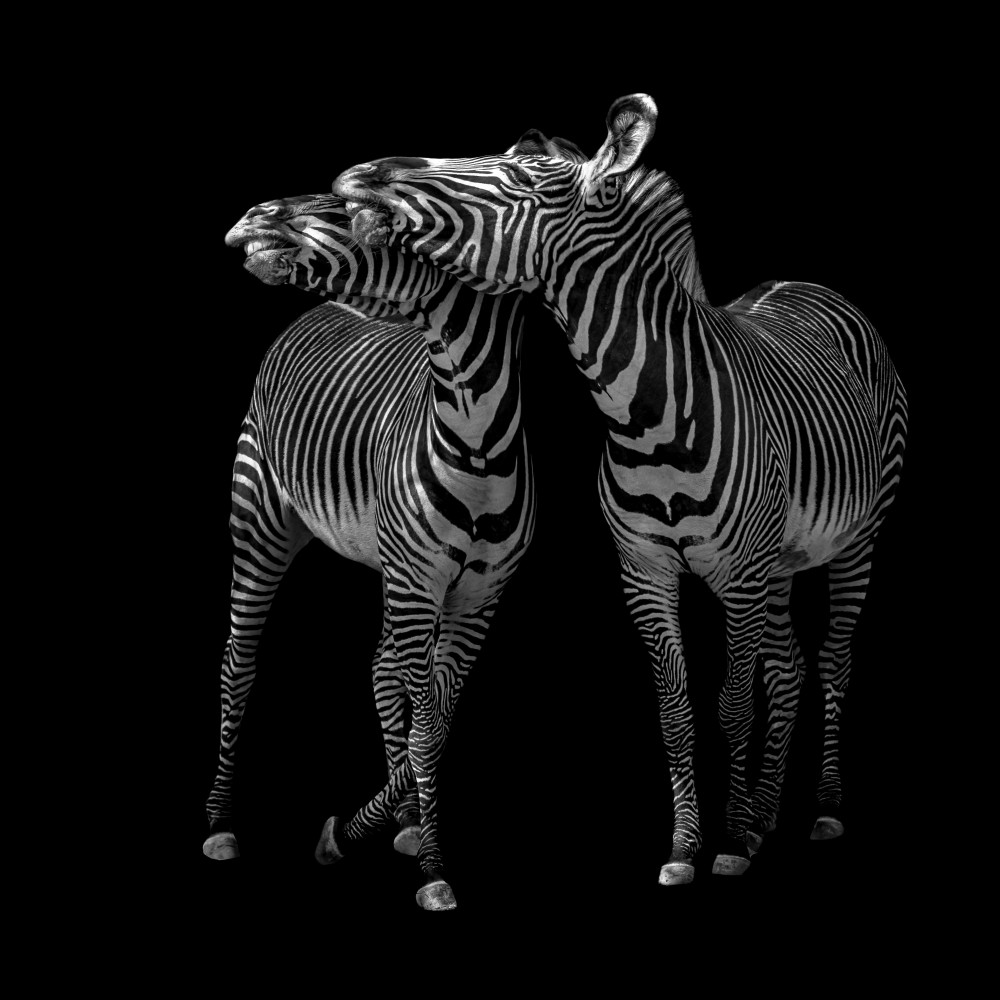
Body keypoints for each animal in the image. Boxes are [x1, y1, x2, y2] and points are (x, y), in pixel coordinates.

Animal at [205, 181, 581, 909]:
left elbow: (436, 720)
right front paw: (430, 866)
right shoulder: (418, 583)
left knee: (380, 669)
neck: (477, 442)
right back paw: (219, 823)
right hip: (260, 520)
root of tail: (323, 308)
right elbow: (428, 726)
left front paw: (377, 832)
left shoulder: (478, 596)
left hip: (390, 565)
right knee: (239, 664)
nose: (251, 219)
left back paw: (400, 817)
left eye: (361, 213)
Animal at [332, 93, 909, 883]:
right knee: (788, 670)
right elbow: (675, 710)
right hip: (782, 559)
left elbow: (732, 703)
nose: (360, 174)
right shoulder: (645, 570)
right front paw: (688, 844)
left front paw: (727, 843)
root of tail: (806, 282)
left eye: (522, 181)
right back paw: (765, 815)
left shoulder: (739, 574)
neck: (650, 416)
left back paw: (818, 808)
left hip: (855, 538)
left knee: (831, 660)